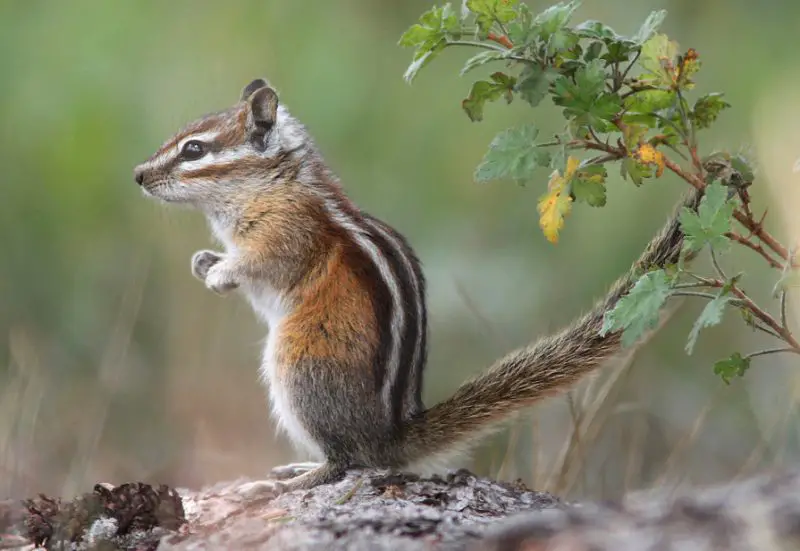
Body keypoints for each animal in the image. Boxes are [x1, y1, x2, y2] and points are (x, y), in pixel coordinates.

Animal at [133, 78, 701, 495]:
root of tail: (390, 437)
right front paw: (203, 261)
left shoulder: (287, 234)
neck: (273, 184)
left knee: (346, 461)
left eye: (194, 149)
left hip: (298, 366)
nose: (138, 175)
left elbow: (264, 263)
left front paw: (219, 272)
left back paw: (296, 480)